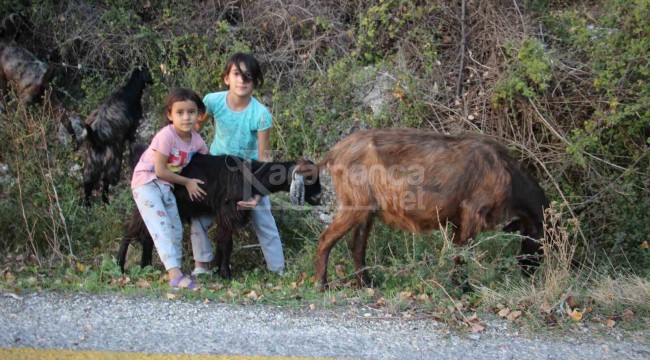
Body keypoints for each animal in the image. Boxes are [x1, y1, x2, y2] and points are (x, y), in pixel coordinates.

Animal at [82, 65, 153, 205]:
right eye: (148, 71)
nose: (152, 81)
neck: (128, 91)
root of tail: (95, 138)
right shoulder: (132, 130)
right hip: (112, 160)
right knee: (106, 180)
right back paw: (106, 200)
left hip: (91, 163)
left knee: (88, 183)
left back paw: (88, 204)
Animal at [117, 153, 320, 278]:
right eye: (309, 178)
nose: (319, 197)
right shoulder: (228, 212)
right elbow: (227, 244)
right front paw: (225, 274)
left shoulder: (225, 215)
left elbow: (222, 241)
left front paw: (216, 269)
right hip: (149, 200)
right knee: (130, 230)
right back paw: (120, 265)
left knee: (146, 234)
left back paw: (145, 265)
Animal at [314, 129, 548, 290]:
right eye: (542, 241)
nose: (529, 272)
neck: (507, 174)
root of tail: (335, 152)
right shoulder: (472, 215)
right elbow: (462, 254)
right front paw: (463, 288)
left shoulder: (459, 222)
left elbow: (457, 252)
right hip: (354, 206)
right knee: (326, 238)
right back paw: (322, 285)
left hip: (366, 211)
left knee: (357, 246)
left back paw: (367, 283)